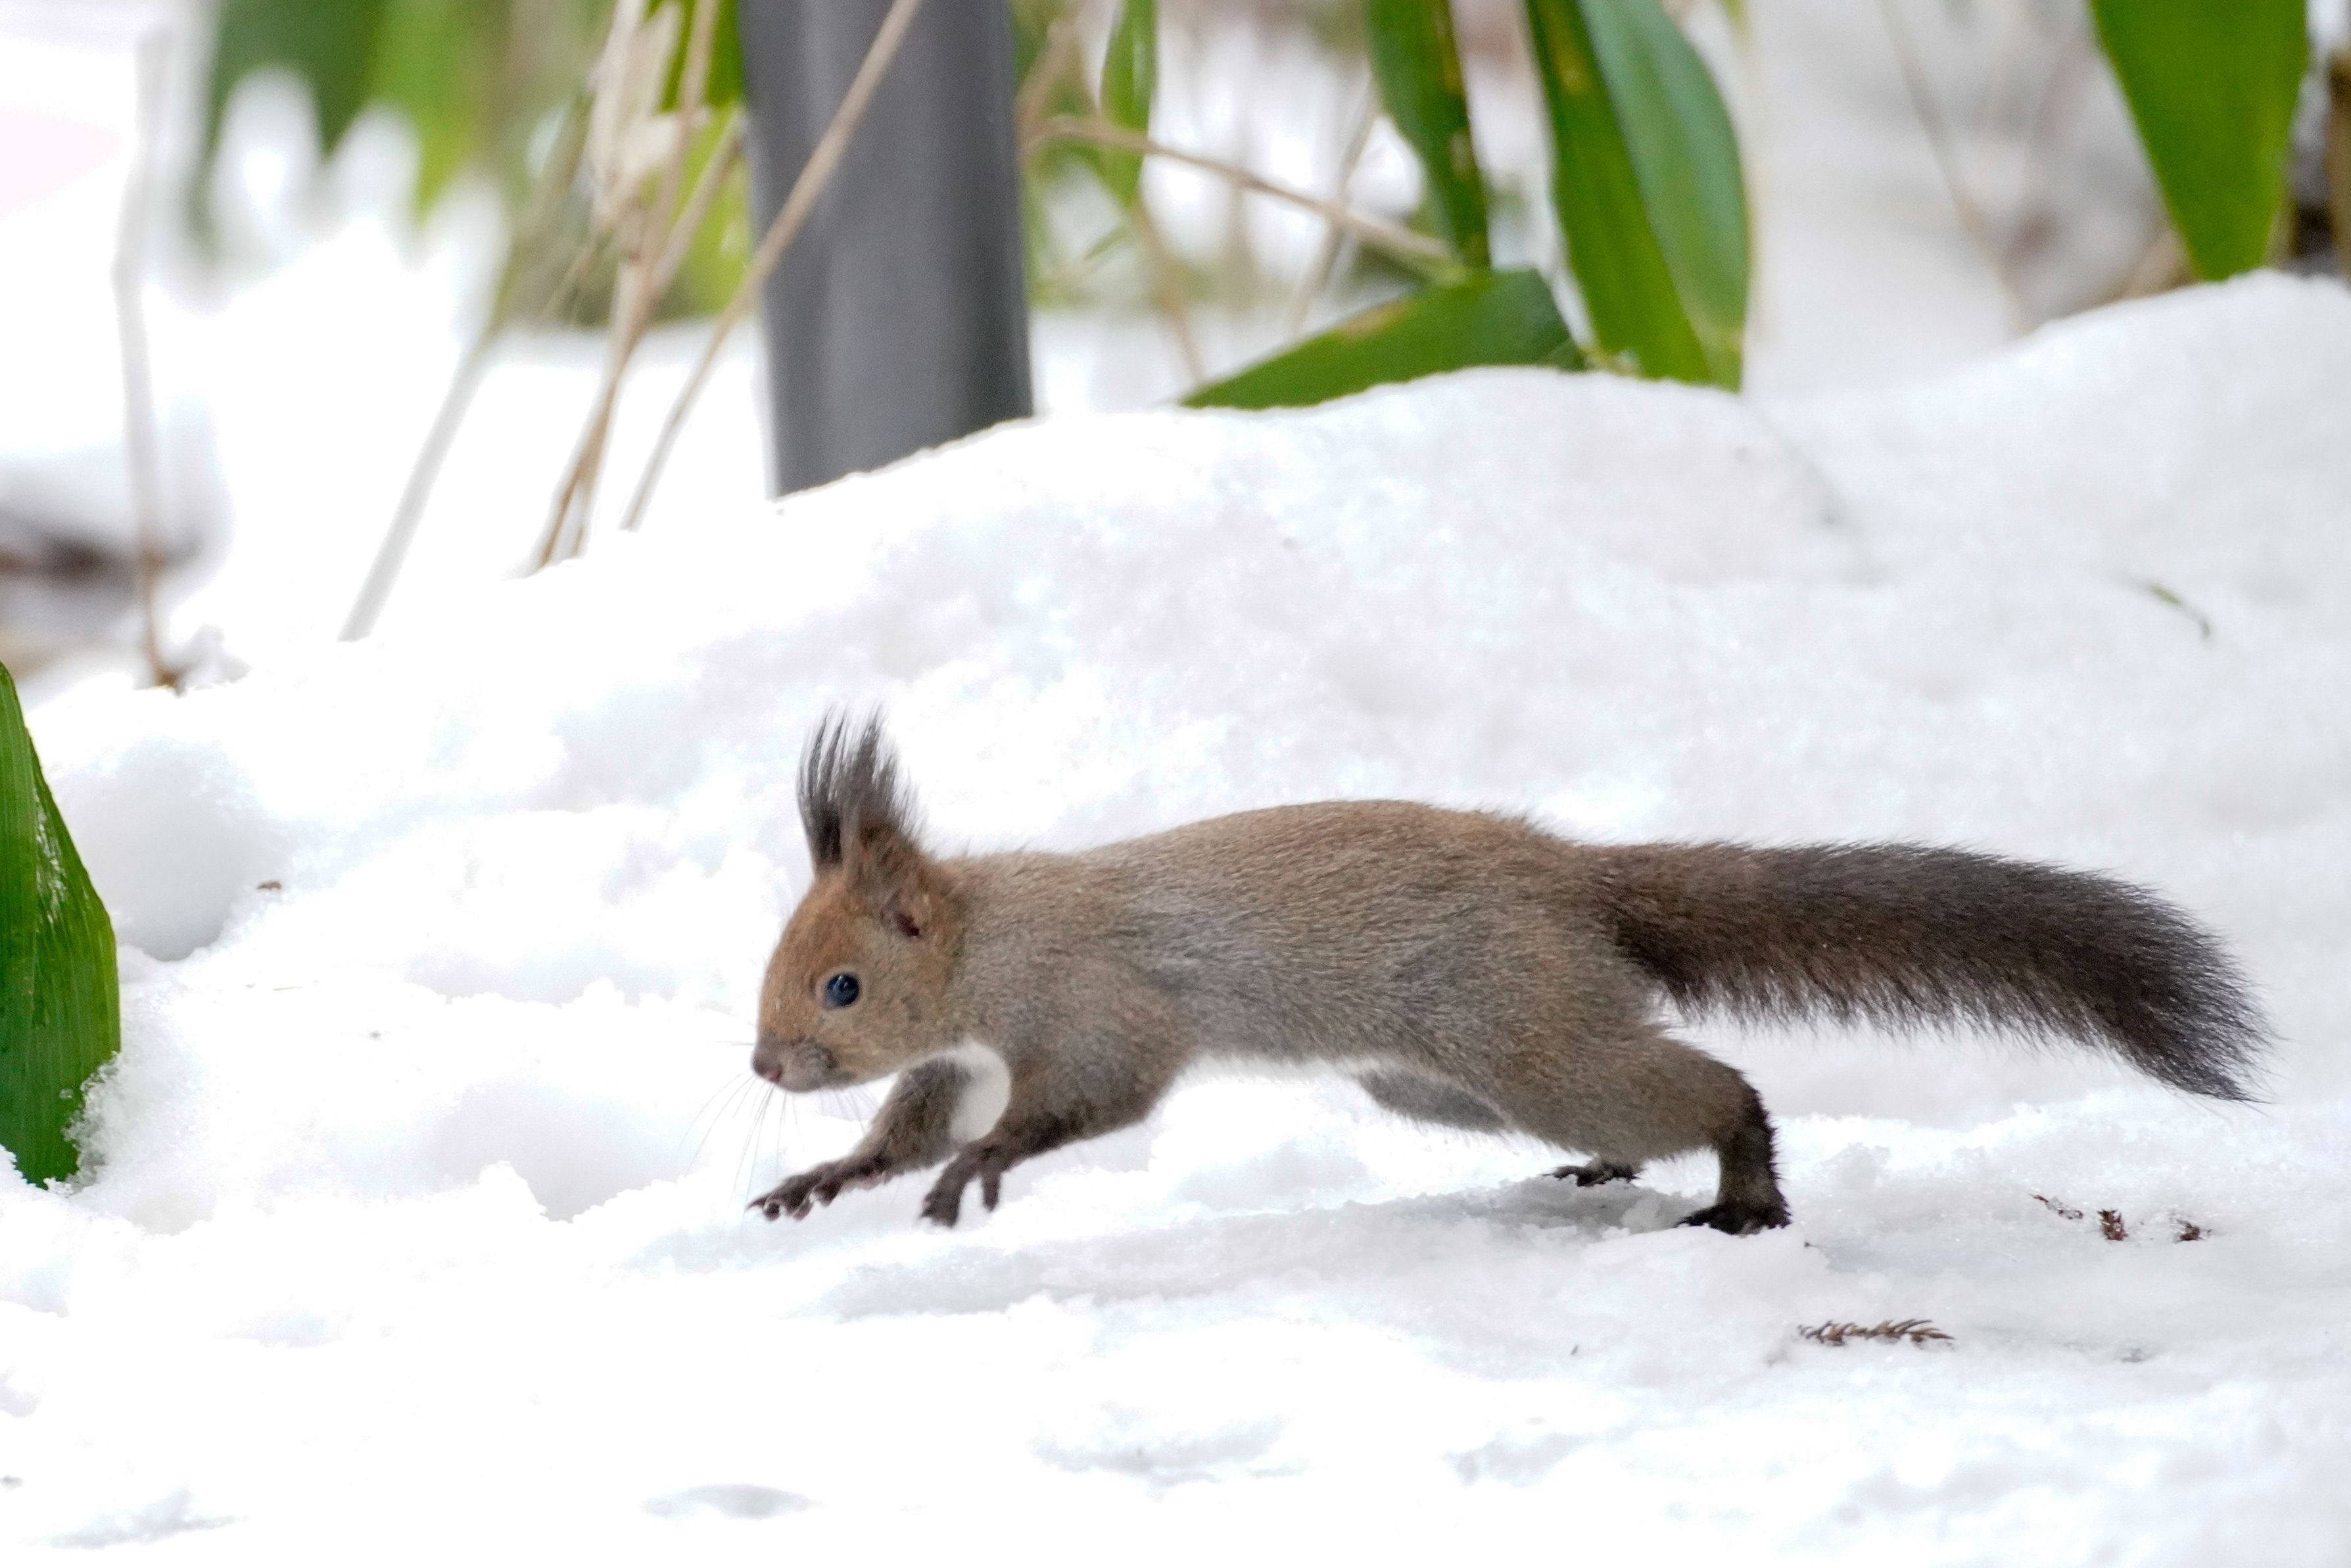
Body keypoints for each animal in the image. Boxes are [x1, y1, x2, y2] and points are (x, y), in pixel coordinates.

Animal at [747, 715, 2265, 1235]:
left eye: (840, 988)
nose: (765, 1066)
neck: (983, 943)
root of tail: (1572, 879)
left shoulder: (1093, 1003)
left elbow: (1085, 1100)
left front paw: (986, 1162)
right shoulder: (961, 1049)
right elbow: (911, 1121)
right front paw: (831, 1173)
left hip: (1516, 1034)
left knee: (1708, 1086)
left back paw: (1744, 1190)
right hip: (1445, 1079)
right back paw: (1619, 1173)